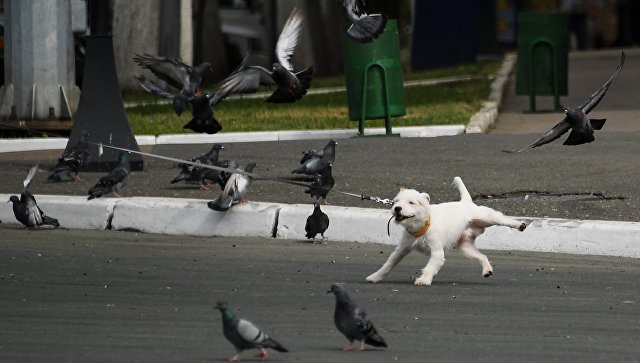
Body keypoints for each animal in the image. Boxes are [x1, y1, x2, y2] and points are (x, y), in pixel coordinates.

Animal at [368, 177, 528, 288]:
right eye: (396, 201)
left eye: (411, 202)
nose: (397, 209)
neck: (423, 226)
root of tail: (466, 202)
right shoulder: (401, 250)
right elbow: (388, 264)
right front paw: (375, 276)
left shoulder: (437, 253)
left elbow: (429, 267)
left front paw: (424, 280)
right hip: (466, 248)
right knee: (482, 256)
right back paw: (487, 270)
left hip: (488, 218)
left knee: (504, 220)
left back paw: (520, 224)